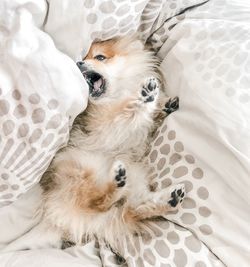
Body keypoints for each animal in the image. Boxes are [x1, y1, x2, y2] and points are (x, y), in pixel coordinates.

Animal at [2, 36, 185, 254]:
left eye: (100, 57)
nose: (79, 63)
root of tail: (54, 220)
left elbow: (147, 117)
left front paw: (162, 105)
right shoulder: (105, 125)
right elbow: (127, 111)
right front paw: (145, 97)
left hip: (135, 180)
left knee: (131, 209)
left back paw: (169, 198)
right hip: (81, 168)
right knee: (97, 202)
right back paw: (117, 181)